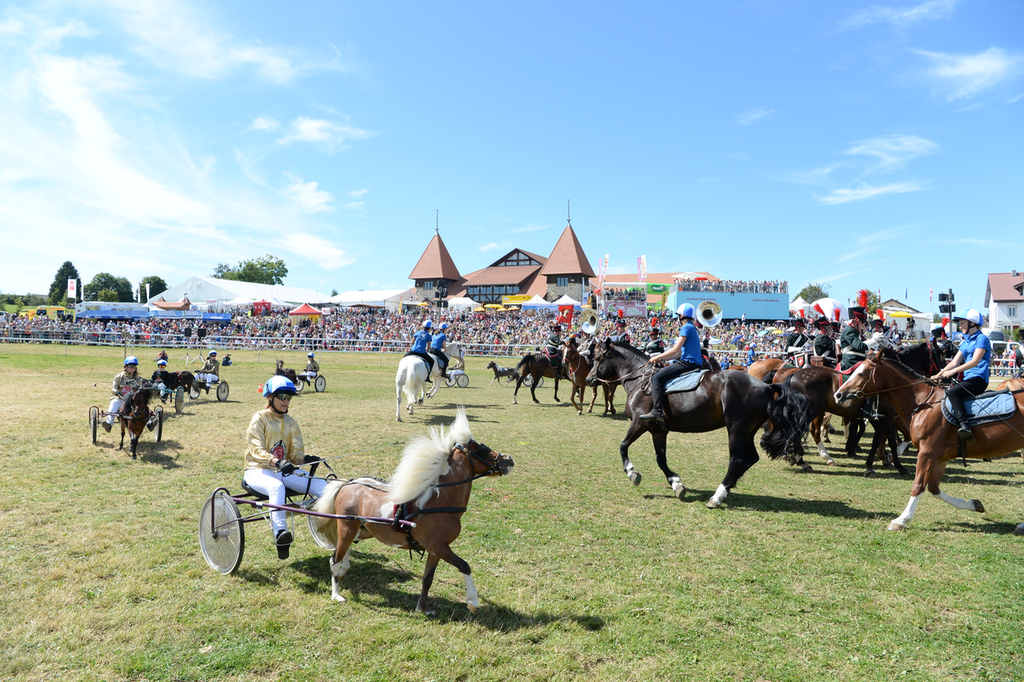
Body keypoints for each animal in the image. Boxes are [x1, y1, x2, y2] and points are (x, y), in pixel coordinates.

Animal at [309, 405, 512, 614]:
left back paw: (344, 570)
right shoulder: (440, 547)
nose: (508, 459)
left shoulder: (435, 550)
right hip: (347, 528)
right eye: (482, 449)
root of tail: (346, 484)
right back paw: (336, 593)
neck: (439, 502)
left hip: (362, 530)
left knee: (343, 551)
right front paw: (472, 601)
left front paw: (422, 607)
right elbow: (465, 566)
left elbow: (427, 578)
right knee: (334, 558)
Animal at [589, 337, 811, 503]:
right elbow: (661, 459)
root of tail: (765, 387)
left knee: (737, 460)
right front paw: (676, 484)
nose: (590, 379)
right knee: (750, 458)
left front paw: (632, 473)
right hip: (747, 431)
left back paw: (717, 496)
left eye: (597, 357)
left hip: (736, 431)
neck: (640, 381)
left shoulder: (639, 423)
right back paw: (726, 489)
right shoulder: (658, 431)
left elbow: (623, 446)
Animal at [831, 348, 1024, 528]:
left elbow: (918, 485)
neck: (925, 403)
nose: (838, 395)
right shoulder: (940, 457)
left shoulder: (927, 452)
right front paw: (973, 504)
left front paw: (901, 520)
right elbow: (933, 488)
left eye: (862, 373)